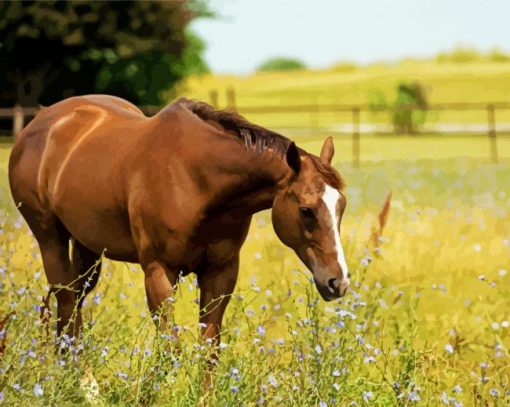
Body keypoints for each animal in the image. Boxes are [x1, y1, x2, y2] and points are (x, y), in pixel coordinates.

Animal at [8, 95, 350, 348]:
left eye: (341, 206)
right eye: (306, 210)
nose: (339, 281)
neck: (197, 179)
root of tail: (40, 122)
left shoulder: (220, 272)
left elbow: (209, 348)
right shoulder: (159, 272)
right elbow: (169, 347)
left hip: (87, 248)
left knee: (74, 306)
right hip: (50, 240)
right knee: (66, 301)